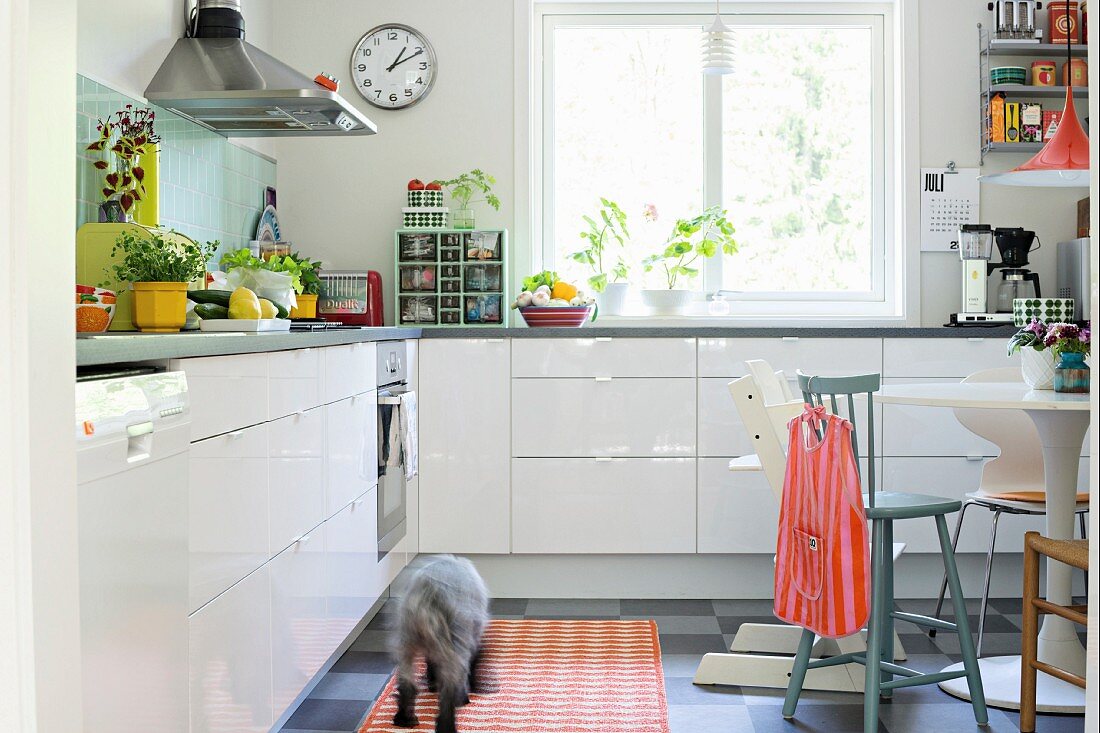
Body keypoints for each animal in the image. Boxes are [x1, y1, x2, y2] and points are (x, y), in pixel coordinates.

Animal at [389, 554, 488, 730]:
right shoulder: (472, 635)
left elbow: (431, 663)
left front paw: (432, 682)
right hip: (456, 645)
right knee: (449, 688)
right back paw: (448, 722)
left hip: (406, 644)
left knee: (407, 684)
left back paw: (404, 719)